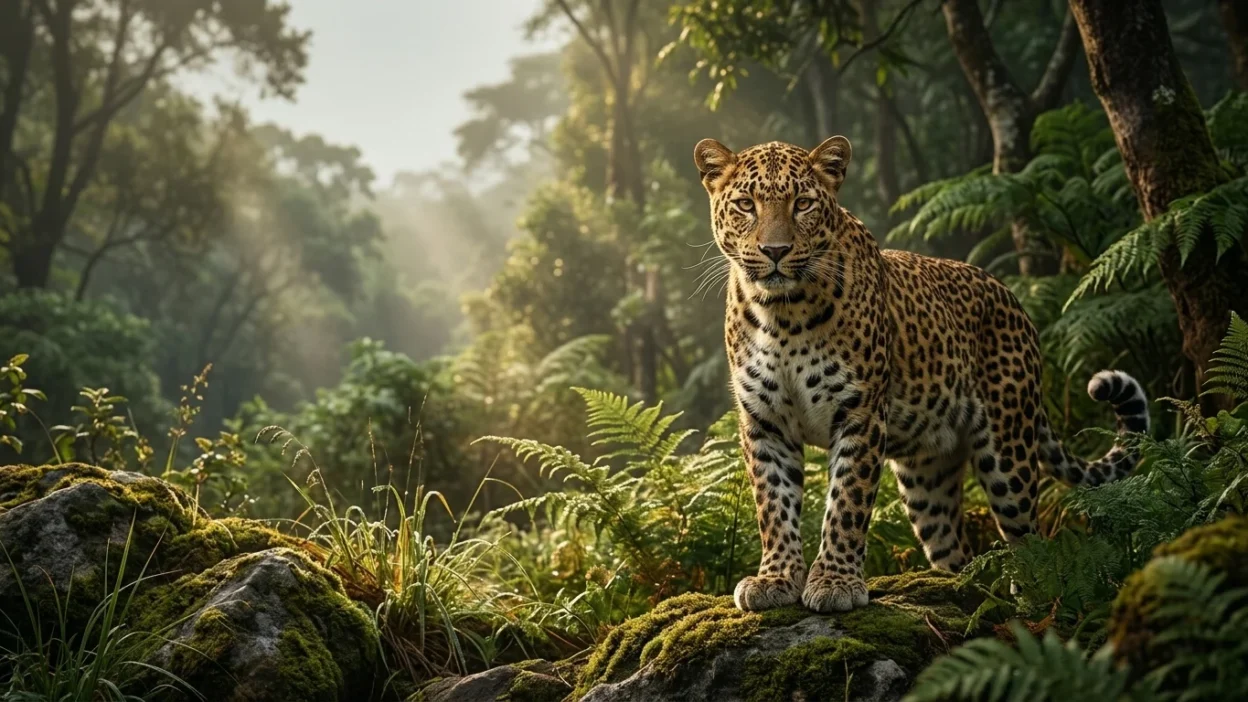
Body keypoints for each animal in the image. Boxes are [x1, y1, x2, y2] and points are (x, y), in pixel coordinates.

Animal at [693, 136, 1150, 614]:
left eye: (802, 204)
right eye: (746, 205)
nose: (776, 251)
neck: (781, 315)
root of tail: (1015, 302)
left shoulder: (859, 413)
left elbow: (846, 502)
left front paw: (836, 582)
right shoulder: (764, 422)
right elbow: (774, 505)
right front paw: (775, 578)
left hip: (1009, 452)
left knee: (1030, 537)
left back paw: (1030, 600)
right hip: (926, 476)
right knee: (955, 548)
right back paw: (960, 589)